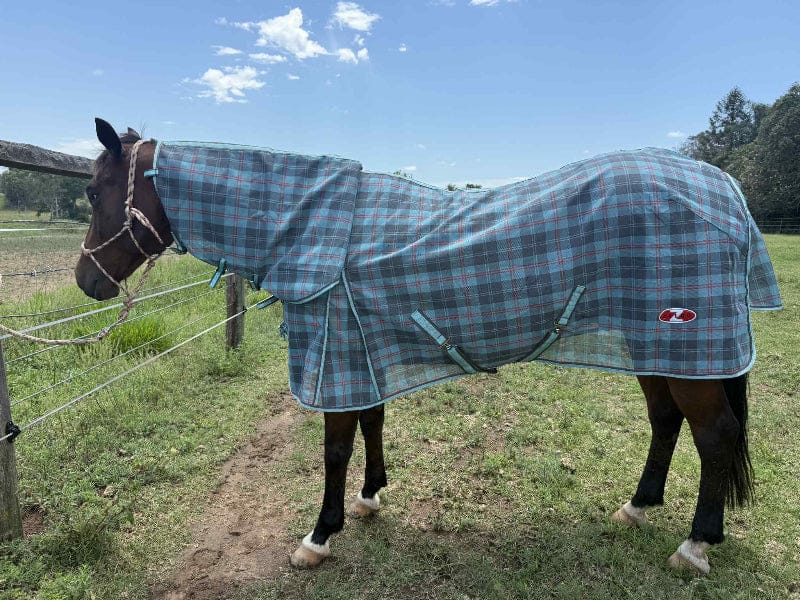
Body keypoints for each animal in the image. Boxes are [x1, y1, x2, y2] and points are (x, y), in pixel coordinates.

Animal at [75, 118, 782, 575]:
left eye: (91, 190)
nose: (87, 280)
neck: (317, 229)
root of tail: (724, 189)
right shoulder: (360, 352)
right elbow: (372, 423)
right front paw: (370, 498)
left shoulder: (337, 355)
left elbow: (335, 450)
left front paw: (319, 536)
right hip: (656, 345)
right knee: (666, 422)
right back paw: (636, 509)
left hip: (686, 344)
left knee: (714, 436)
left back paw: (695, 547)